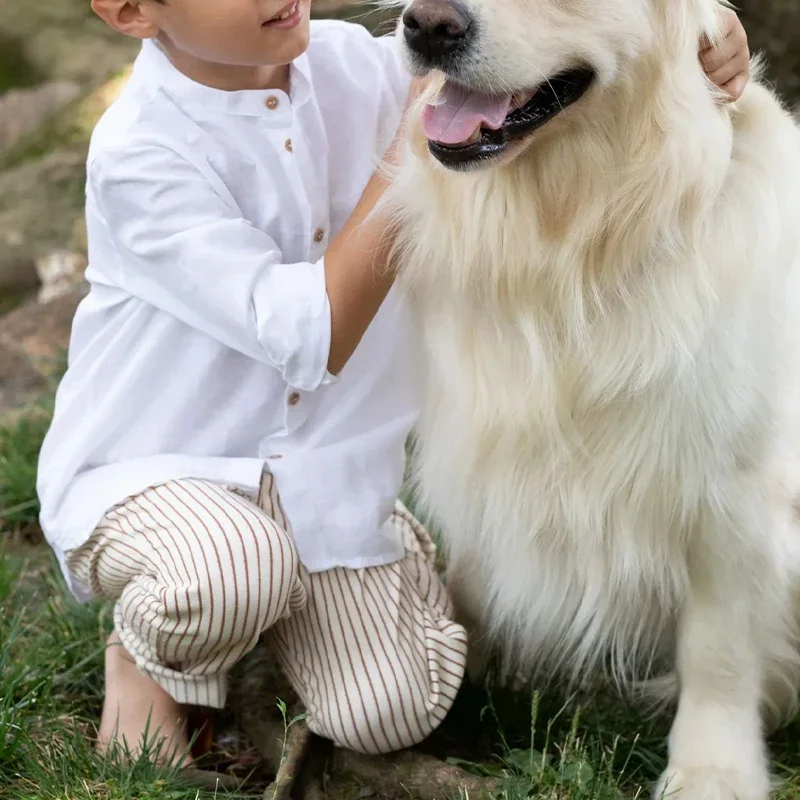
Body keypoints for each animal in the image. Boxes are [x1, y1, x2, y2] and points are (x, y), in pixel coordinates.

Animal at [390, 1, 800, 800]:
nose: (426, 26)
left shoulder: (738, 487)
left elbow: (721, 645)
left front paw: (713, 768)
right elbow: (472, 580)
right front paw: (454, 686)